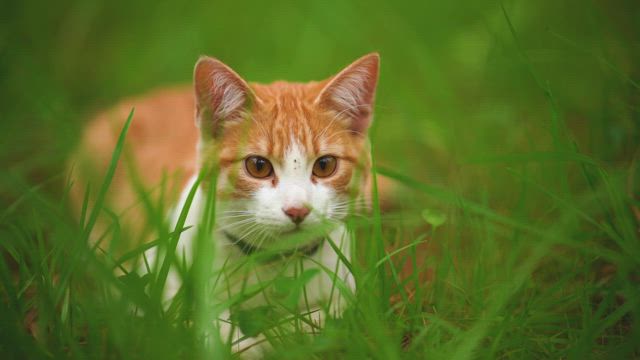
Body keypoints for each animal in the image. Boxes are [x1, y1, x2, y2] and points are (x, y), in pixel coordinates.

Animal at [70, 52, 380, 358]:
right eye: (258, 166)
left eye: (325, 165)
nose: (297, 210)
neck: (271, 264)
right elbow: (191, 321)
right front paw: (243, 343)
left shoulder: (346, 292)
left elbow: (322, 321)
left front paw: (277, 336)